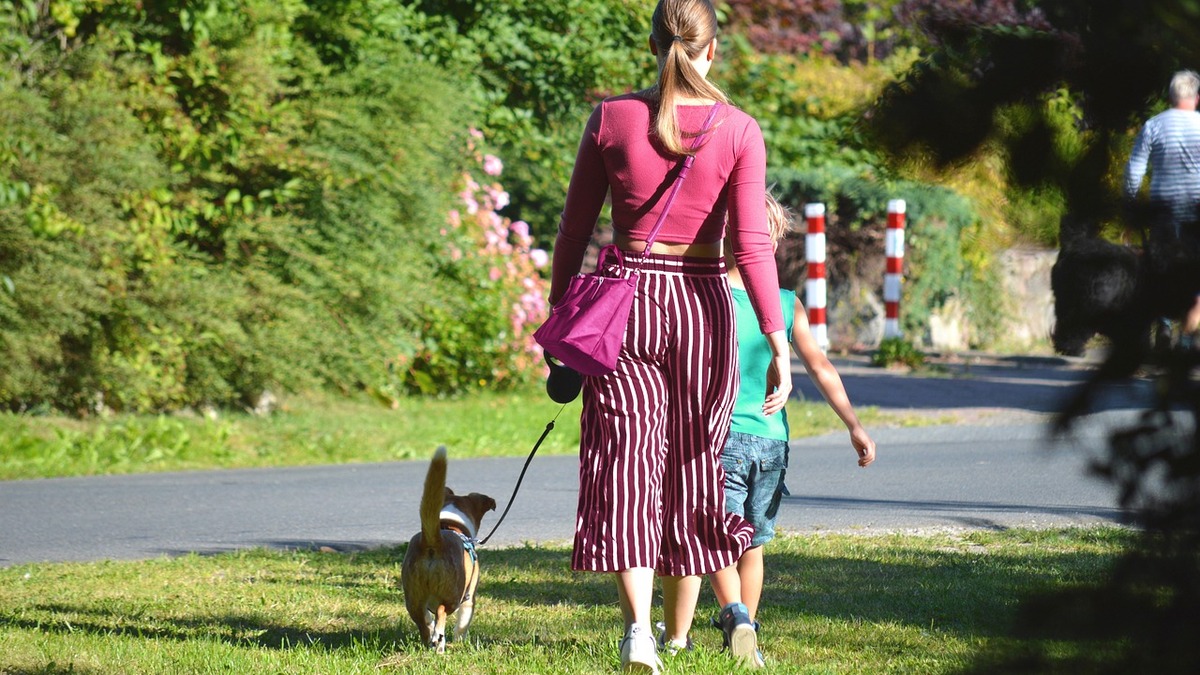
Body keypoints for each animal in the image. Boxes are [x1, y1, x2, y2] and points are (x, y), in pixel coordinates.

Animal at [400, 444, 494, 648]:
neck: (450, 523)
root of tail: (432, 540)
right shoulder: (469, 598)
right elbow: (462, 625)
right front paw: (460, 643)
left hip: (413, 598)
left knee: (423, 623)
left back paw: (432, 641)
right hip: (454, 595)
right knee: (442, 612)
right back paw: (439, 640)